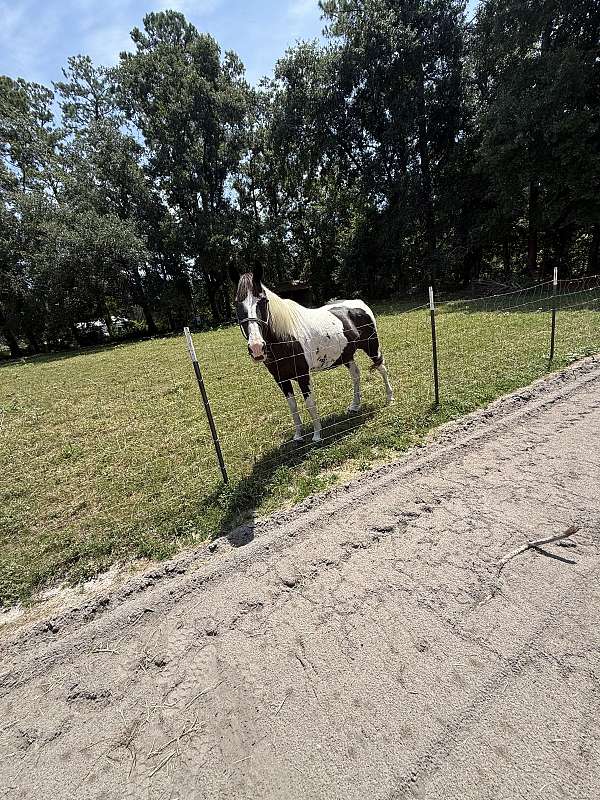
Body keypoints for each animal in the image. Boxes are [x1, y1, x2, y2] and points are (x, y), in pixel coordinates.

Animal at [230, 264, 394, 443]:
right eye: (237, 303)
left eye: (263, 301)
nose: (257, 347)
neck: (286, 337)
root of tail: (359, 303)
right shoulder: (281, 379)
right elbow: (292, 406)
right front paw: (298, 436)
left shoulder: (303, 376)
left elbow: (310, 404)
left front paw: (317, 436)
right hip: (347, 355)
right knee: (356, 375)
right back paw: (355, 406)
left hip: (372, 347)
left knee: (382, 368)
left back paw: (389, 398)